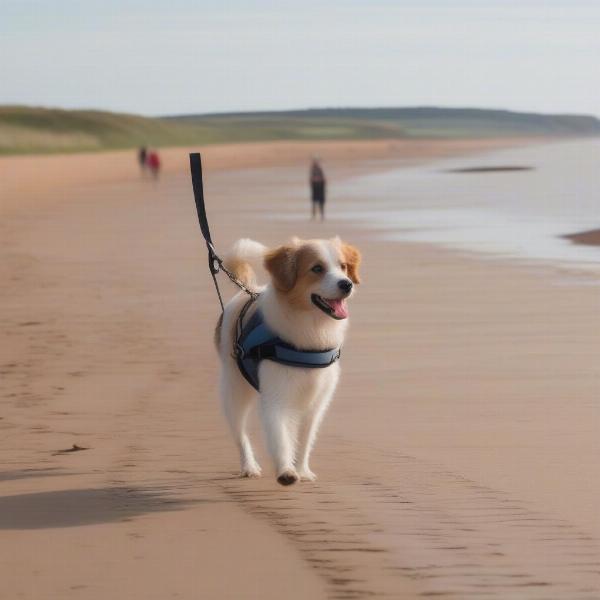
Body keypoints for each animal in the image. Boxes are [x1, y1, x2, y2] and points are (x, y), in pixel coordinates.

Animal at [213, 237, 358, 486]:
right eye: (317, 268)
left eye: (343, 267)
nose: (346, 284)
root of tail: (247, 292)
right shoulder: (275, 397)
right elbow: (279, 436)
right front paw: (286, 471)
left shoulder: (317, 401)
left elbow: (305, 438)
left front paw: (302, 470)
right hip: (234, 391)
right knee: (240, 433)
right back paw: (249, 466)